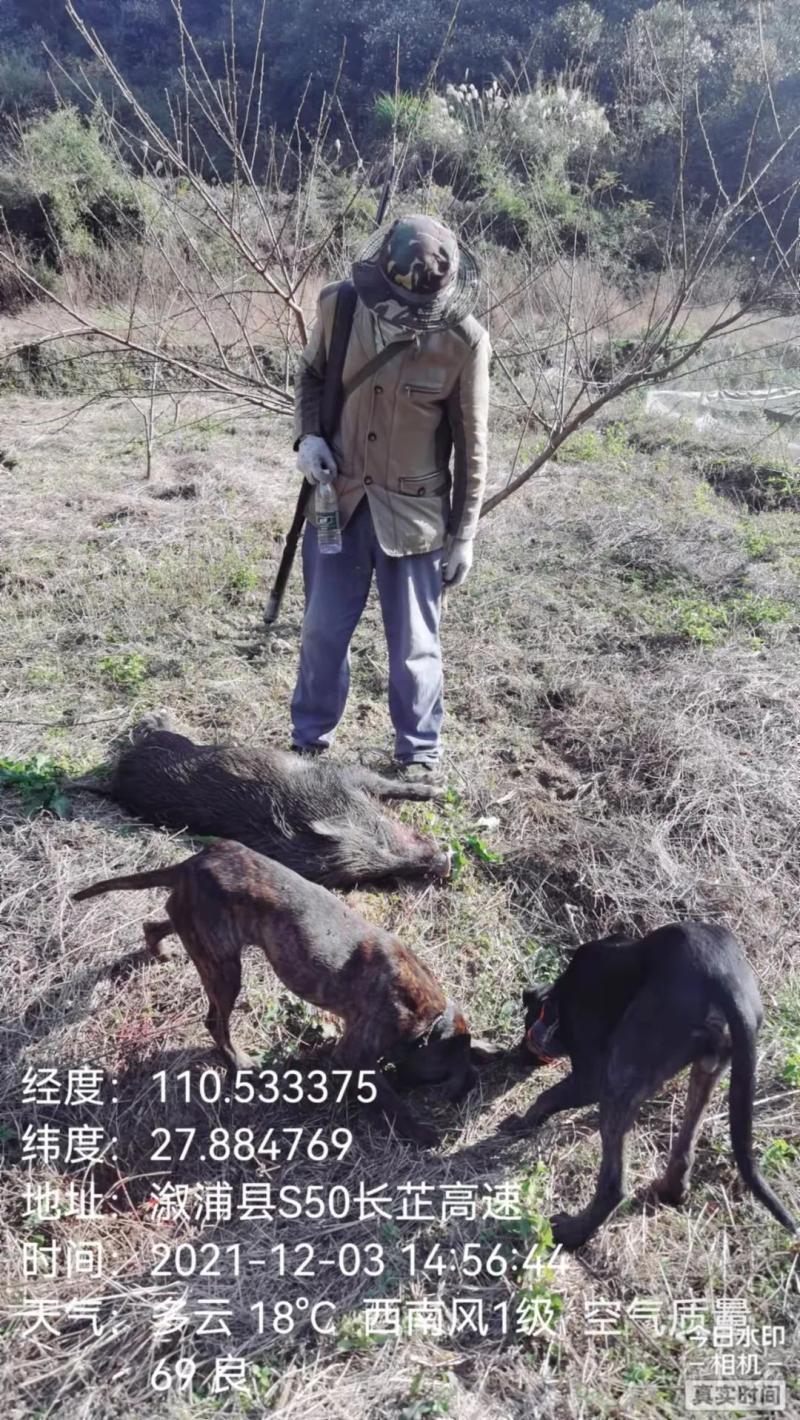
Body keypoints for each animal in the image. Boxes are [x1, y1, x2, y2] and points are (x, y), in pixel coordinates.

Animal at [73, 841, 493, 1144]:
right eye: (447, 1079)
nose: (463, 1094)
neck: (429, 1020)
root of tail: (192, 863)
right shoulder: (354, 1055)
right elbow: (386, 1096)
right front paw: (419, 1130)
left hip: (196, 931)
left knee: (156, 923)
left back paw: (159, 950)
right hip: (224, 968)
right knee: (215, 1021)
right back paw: (239, 1062)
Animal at [76, 714, 450, 889]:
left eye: (380, 873)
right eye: (379, 847)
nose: (445, 862)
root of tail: (114, 782)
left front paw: (435, 787)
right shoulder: (341, 774)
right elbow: (387, 782)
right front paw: (437, 787)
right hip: (174, 740)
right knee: (156, 729)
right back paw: (159, 715)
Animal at [501, 923, 797, 1247]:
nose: (518, 1056)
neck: (558, 999)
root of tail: (726, 982)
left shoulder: (589, 1077)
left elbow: (546, 1097)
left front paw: (523, 1121)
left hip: (621, 1071)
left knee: (613, 1187)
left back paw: (572, 1232)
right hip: (710, 1067)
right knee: (683, 1151)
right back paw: (669, 1191)